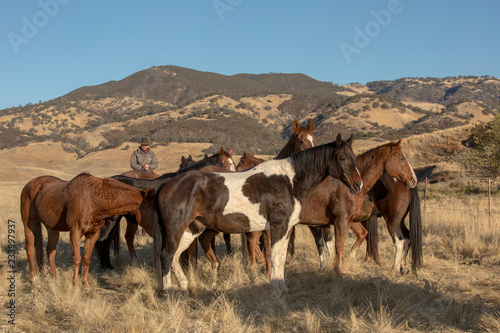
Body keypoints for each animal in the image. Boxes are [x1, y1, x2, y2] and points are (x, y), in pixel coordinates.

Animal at [19, 172, 153, 284]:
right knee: (30, 247)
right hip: (29, 223)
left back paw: (54, 278)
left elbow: (87, 258)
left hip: (52, 228)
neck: (92, 199)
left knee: (50, 250)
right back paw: (34, 277)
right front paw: (75, 285)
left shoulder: (93, 233)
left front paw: (85, 284)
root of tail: (31, 184)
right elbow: (77, 258)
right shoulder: (75, 232)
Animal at [153, 134, 364, 294]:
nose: (358, 184)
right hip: (176, 230)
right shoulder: (279, 226)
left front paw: (281, 286)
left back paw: (184, 287)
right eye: (342, 158)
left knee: (174, 256)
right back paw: (168, 293)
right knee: (166, 256)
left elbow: (279, 257)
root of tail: (166, 184)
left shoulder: (286, 228)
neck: (290, 181)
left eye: (354, 157)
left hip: (191, 230)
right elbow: (276, 257)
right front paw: (277, 288)